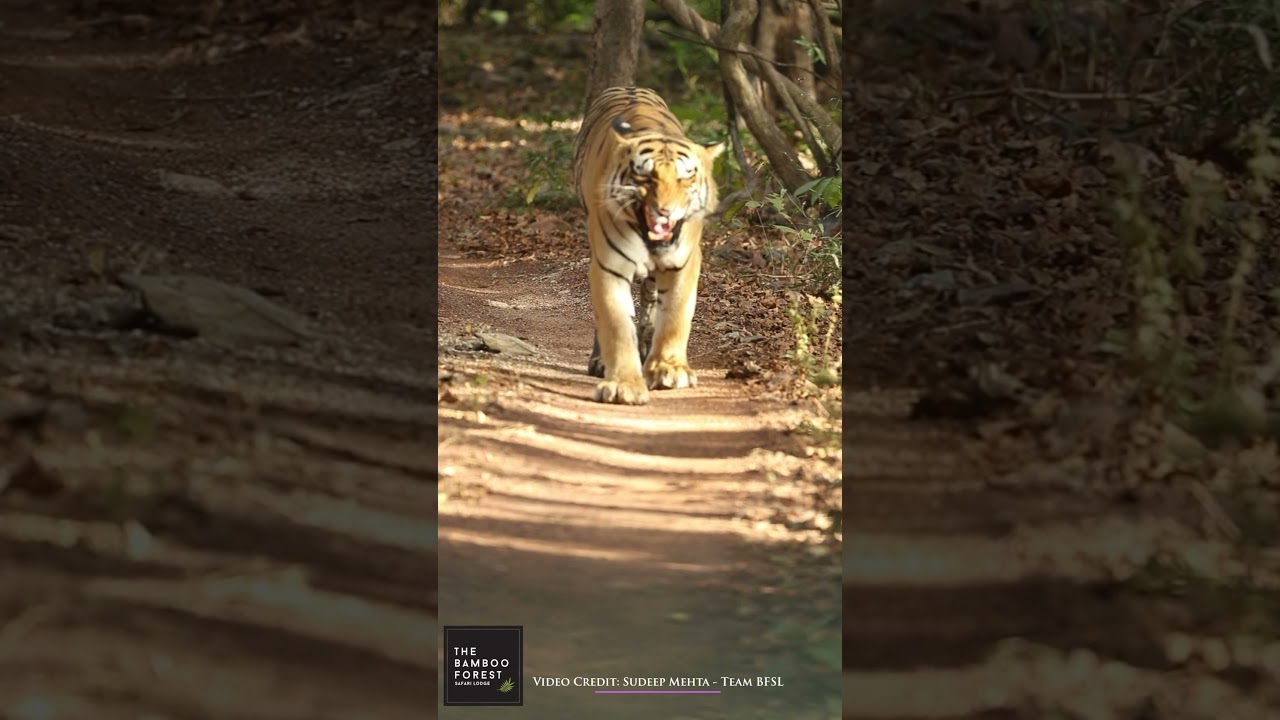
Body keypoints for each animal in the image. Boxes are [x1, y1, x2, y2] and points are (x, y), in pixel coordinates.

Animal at [572, 86, 724, 406]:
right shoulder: (609, 266)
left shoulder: (684, 263)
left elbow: (676, 316)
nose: (665, 211)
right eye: (645, 175)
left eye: (685, 176)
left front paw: (669, 369)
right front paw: (622, 385)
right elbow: (616, 325)